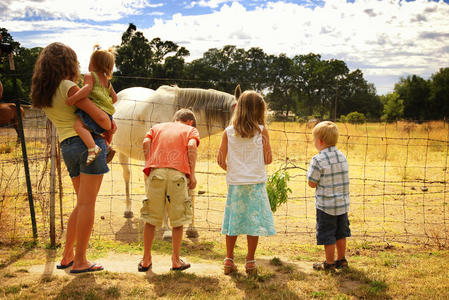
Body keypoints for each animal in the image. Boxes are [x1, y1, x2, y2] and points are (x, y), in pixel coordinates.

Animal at [111, 85, 238, 233]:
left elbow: (190, 189)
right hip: (122, 153)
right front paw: (167, 229)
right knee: (127, 176)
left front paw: (191, 228)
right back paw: (128, 210)